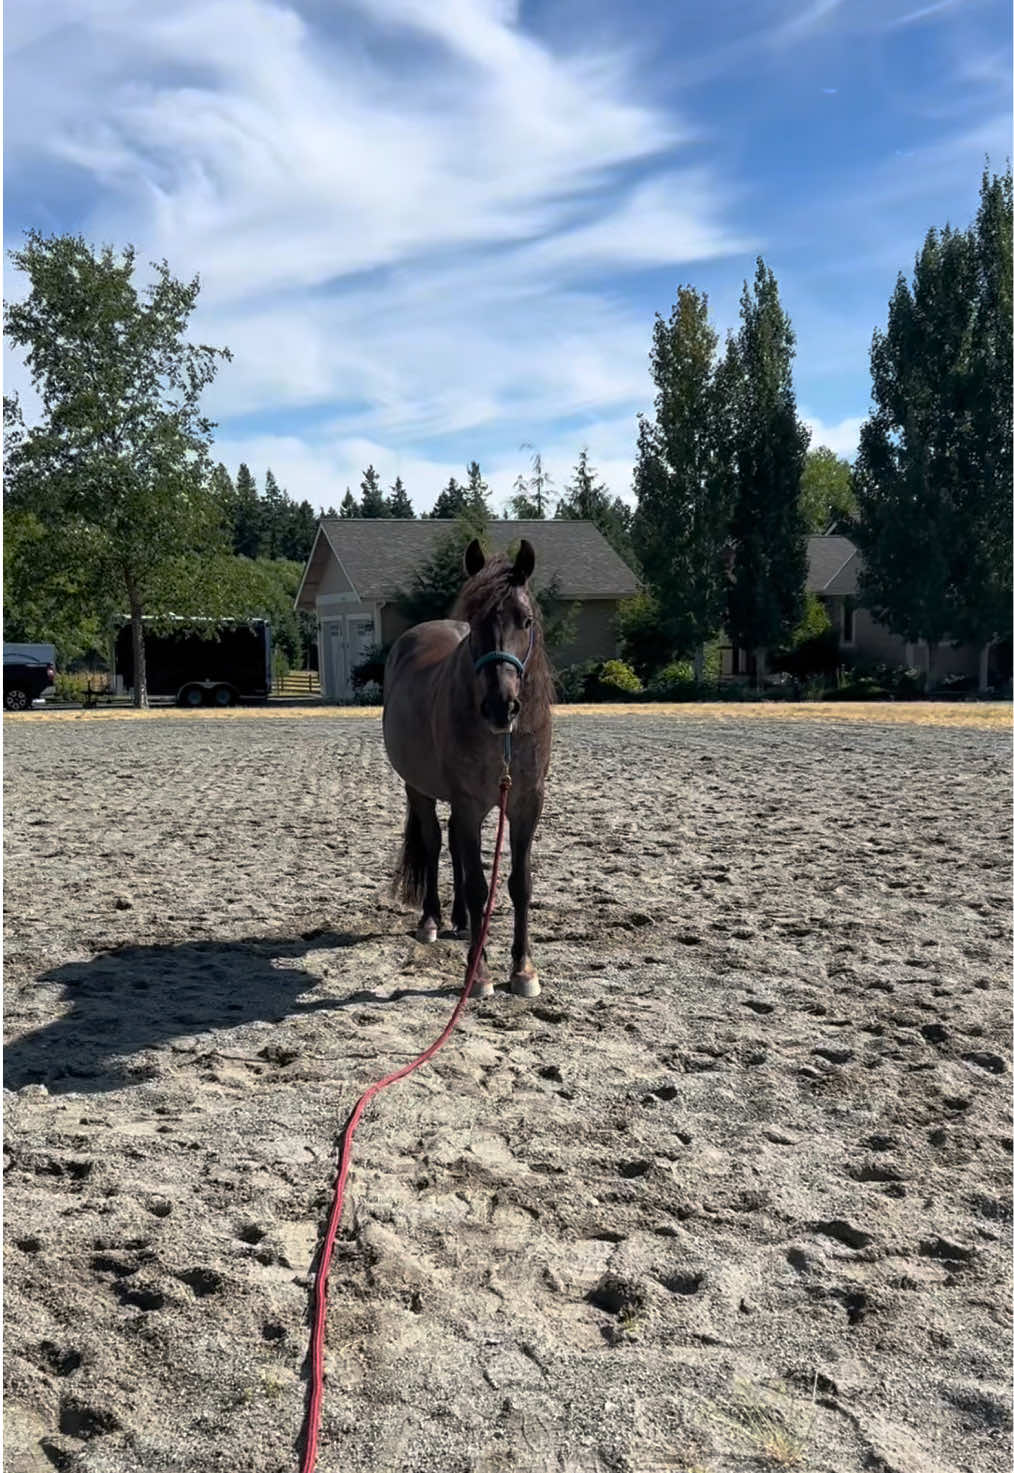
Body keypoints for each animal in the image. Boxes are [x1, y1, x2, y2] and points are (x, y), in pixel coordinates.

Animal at [382, 537, 554, 999]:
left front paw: (523, 969)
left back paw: (459, 921)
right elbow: (479, 885)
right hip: (419, 789)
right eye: (474, 622)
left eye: (526, 620)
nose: (500, 707)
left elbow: (520, 882)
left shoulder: (526, 803)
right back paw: (433, 921)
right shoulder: (468, 802)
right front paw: (478, 974)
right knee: (435, 842)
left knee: (455, 846)